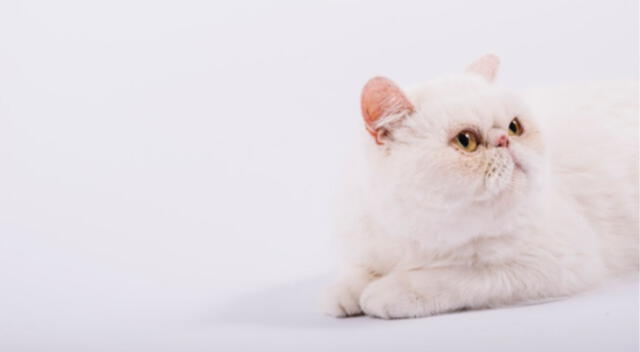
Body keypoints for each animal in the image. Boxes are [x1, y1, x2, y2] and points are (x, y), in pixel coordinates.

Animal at [322, 54, 636, 320]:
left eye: (514, 127)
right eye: (466, 141)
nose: (504, 140)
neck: (416, 236)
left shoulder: (561, 261)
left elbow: (458, 275)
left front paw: (388, 292)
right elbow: (359, 270)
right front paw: (344, 290)